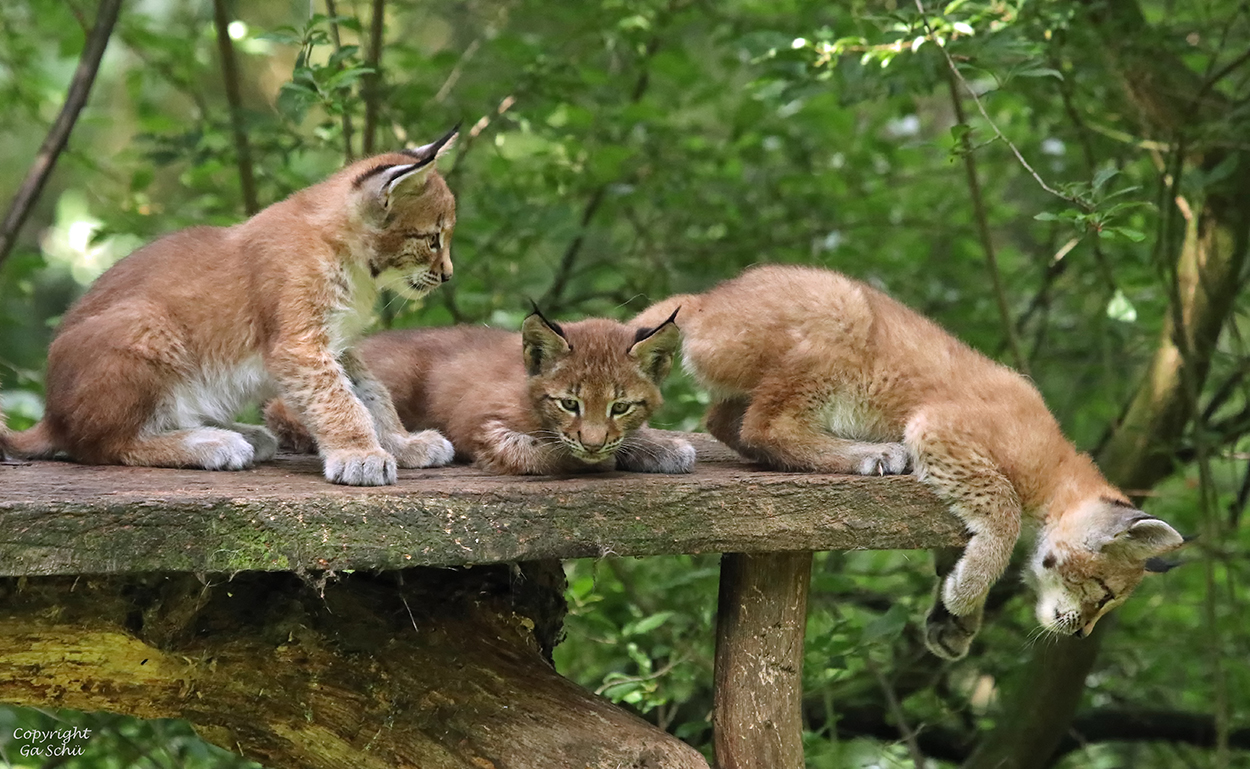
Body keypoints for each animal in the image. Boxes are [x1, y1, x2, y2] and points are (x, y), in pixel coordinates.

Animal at [0, 126, 465, 487]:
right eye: (432, 240)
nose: (447, 275)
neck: (353, 259)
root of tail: (51, 413)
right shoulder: (300, 345)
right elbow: (340, 401)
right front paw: (360, 456)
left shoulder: (336, 343)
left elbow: (372, 393)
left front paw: (401, 444)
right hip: (148, 324)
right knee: (101, 446)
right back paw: (210, 443)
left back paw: (237, 434)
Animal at [265, 311, 700, 477]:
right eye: (569, 404)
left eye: (620, 406)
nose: (593, 444)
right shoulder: (481, 428)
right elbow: (540, 452)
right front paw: (597, 460)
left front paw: (658, 445)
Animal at [635, 266, 1180, 660]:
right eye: (1105, 594)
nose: (1081, 633)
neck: (1059, 478)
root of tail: (706, 300)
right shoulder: (939, 428)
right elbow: (1001, 508)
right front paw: (968, 593)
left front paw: (954, 614)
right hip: (843, 312)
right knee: (762, 427)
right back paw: (869, 453)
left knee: (724, 421)